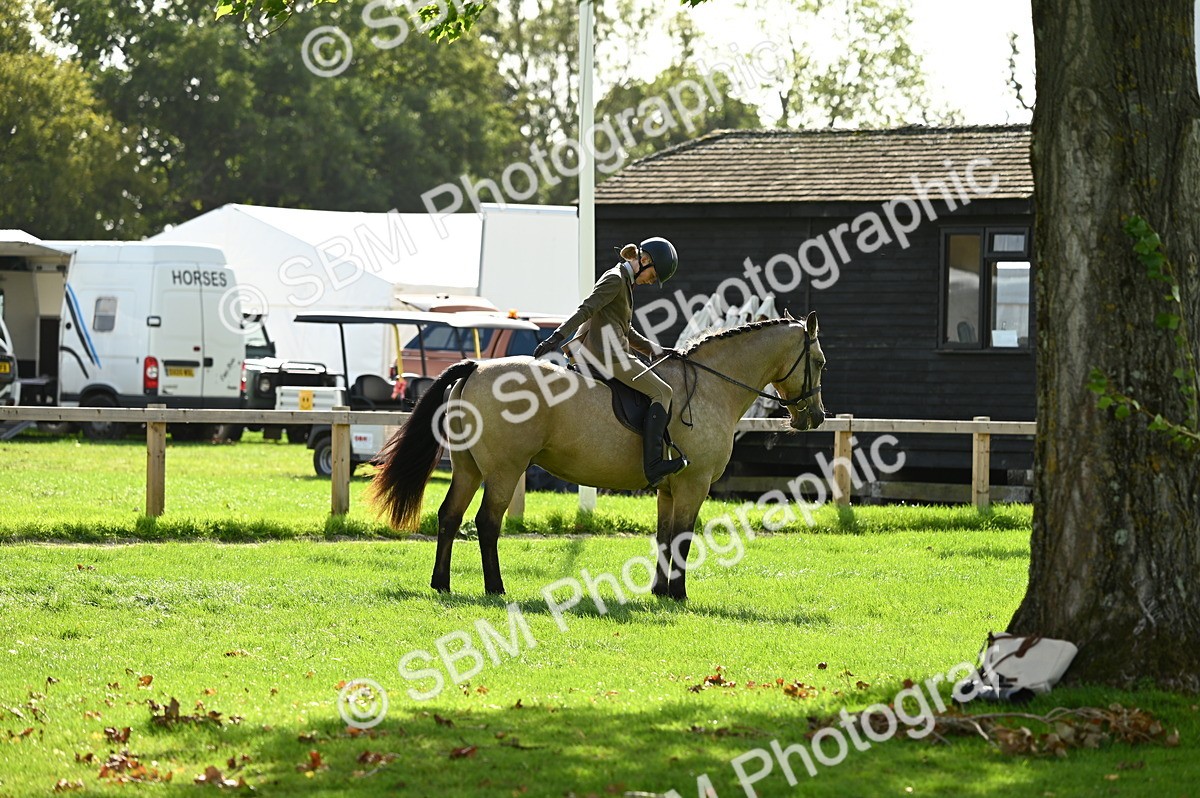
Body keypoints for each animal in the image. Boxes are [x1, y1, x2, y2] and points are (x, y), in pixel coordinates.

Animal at [369, 311, 827, 600]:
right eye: (819, 361)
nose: (816, 417)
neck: (710, 387)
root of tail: (478, 368)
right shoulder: (692, 485)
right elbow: (682, 537)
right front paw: (678, 594)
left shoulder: (668, 489)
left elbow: (664, 537)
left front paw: (660, 592)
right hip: (504, 471)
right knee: (486, 523)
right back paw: (495, 587)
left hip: (468, 469)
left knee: (449, 517)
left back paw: (441, 583)